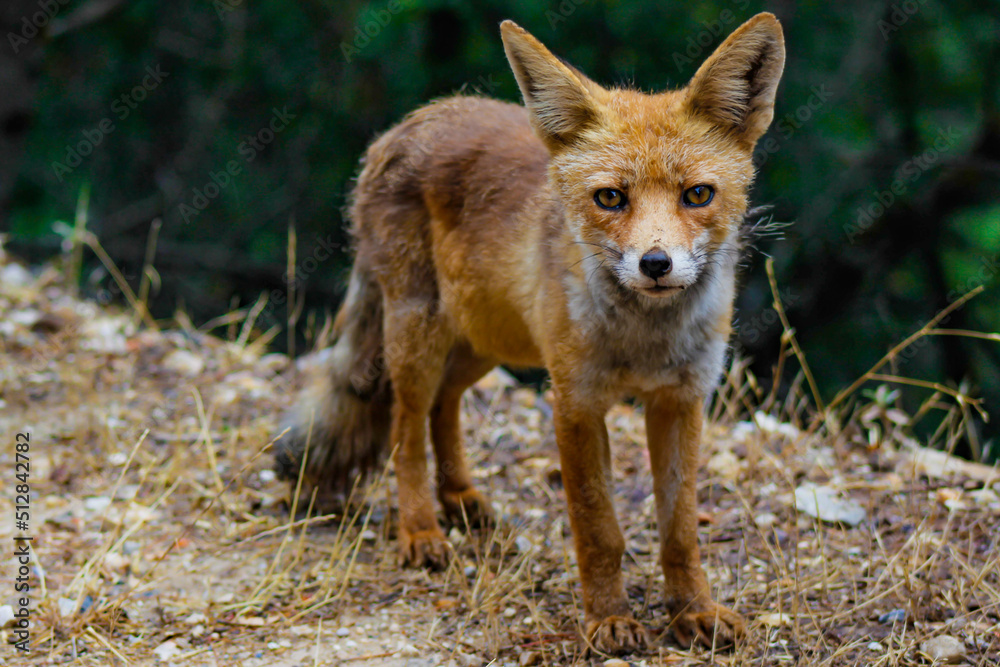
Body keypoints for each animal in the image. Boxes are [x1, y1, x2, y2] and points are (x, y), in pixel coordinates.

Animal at [276, 14, 785, 654]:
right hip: (421, 338)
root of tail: (408, 123)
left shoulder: (682, 400)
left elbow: (680, 530)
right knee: (405, 426)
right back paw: (421, 529)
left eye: (698, 195)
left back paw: (460, 498)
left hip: (487, 341)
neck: (644, 340)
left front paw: (693, 611)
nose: (655, 264)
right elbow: (598, 528)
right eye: (610, 197)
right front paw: (608, 619)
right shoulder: (575, 402)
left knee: (444, 405)